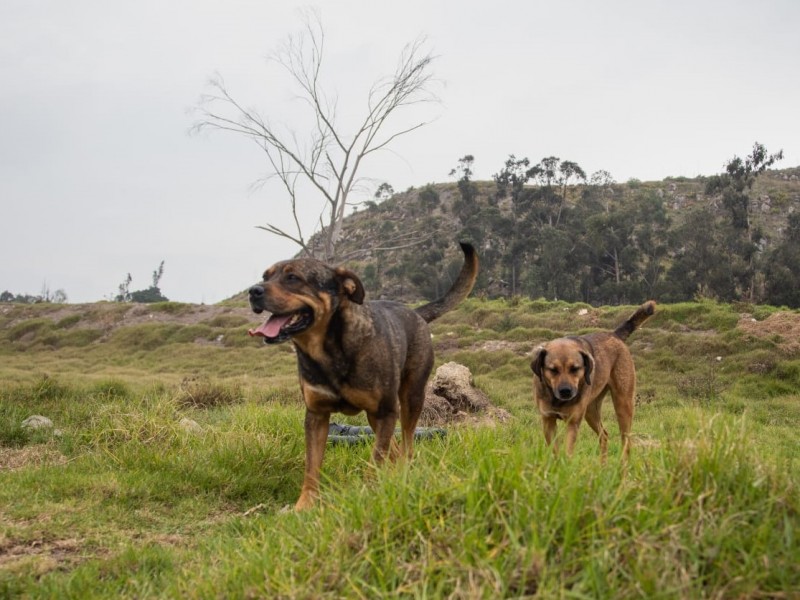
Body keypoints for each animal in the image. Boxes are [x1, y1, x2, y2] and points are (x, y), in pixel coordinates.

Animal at [247, 241, 478, 508]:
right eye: (266, 276)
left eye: (293, 277)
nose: (253, 291)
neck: (328, 350)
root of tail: (416, 313)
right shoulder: (316, 415)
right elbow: (312, 467)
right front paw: (305, 505)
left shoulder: (386, 411)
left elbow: (375, 459)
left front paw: (368, 494)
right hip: (374, 416)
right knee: (394, 448)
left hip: (409, 399)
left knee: (406, 444)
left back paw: (403, 473)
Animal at [528, 300, 652, 460]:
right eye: (553, 370)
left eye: (575, 368)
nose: (566, 391)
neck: (557, 400)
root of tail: (614, 335)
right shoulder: (548, 420)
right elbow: (554, 450)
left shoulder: (573, 422)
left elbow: (568, 451)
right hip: (591, 409)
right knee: (604, 435)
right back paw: (603, 464)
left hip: (623, 403)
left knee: (626, 440)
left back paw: (623, 463)